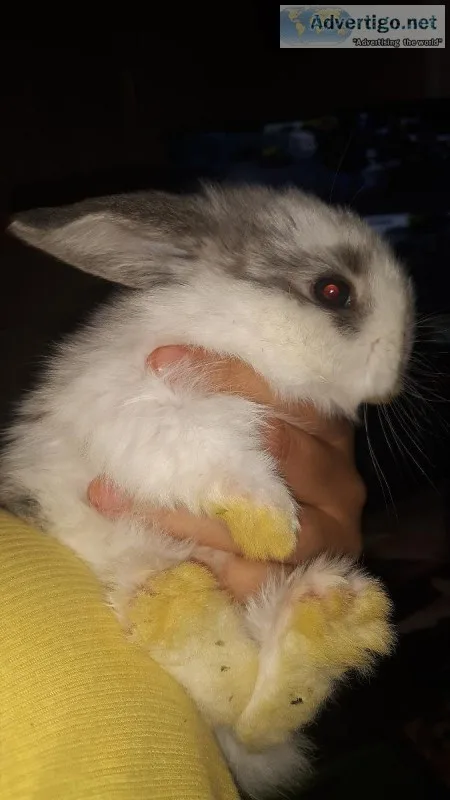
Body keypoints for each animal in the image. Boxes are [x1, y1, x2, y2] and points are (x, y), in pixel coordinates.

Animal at [0, 183, 414, 798]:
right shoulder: (135, 403)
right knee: (229, 699)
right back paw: (184, 602)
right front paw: (272, 527)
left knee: (258, 720)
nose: (391, 381)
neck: (234, 327)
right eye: (333, 290)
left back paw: (332, 624)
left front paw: (271, 535)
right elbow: (203, 444)